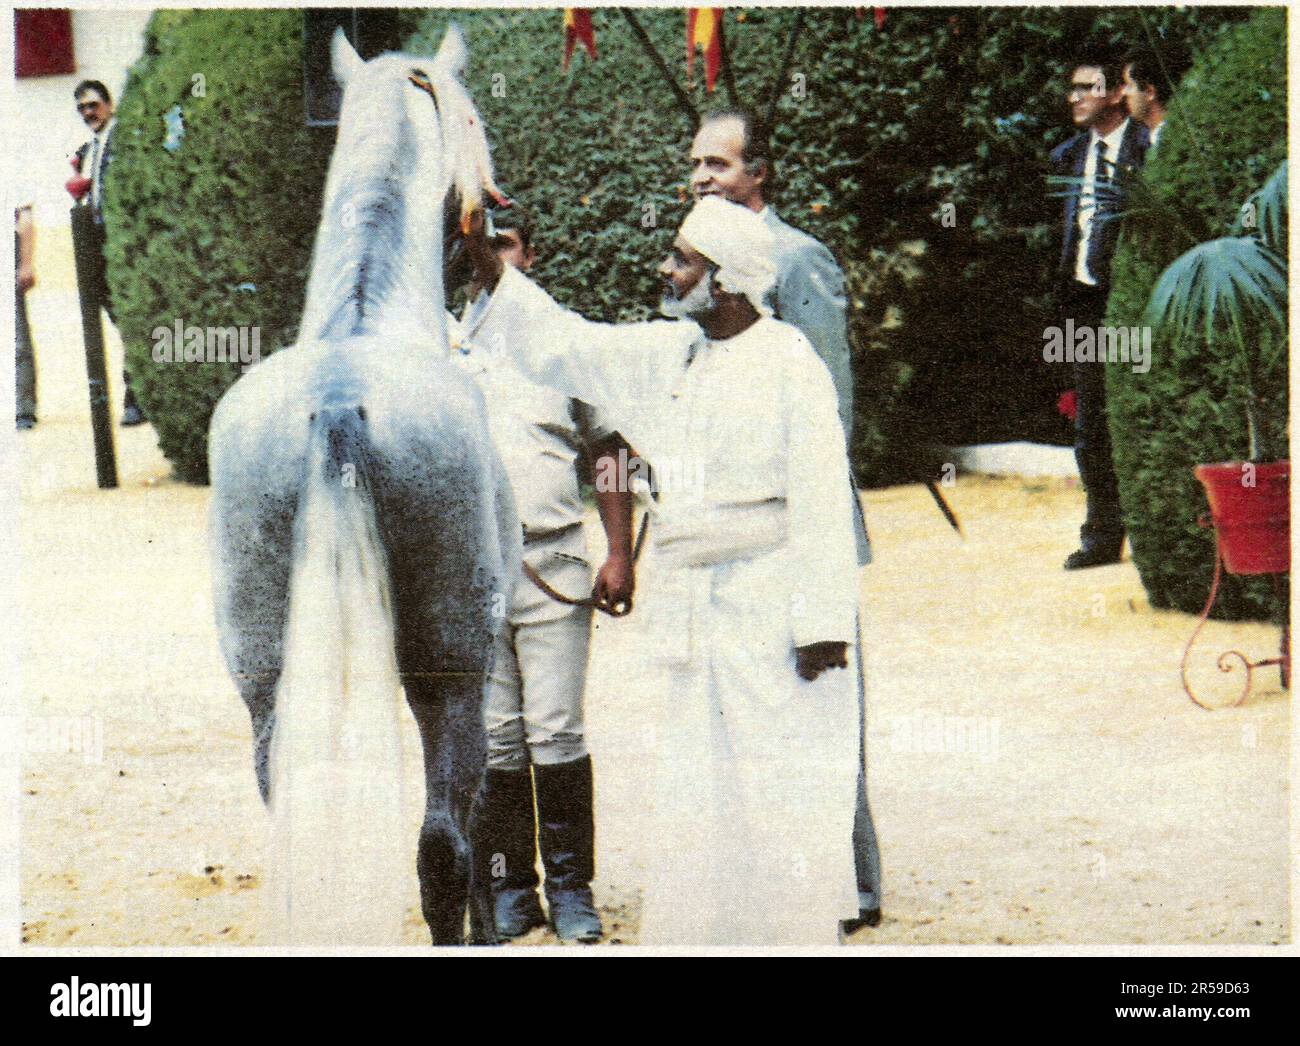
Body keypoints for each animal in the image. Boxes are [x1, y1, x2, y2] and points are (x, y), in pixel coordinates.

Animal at [205, 28, 514, 940]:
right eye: (474, 117)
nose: (493, 214)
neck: (362, 320)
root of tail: (339, 399)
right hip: (453, 673)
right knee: (443, 846)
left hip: (267, 686)